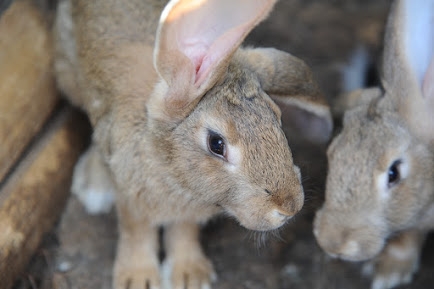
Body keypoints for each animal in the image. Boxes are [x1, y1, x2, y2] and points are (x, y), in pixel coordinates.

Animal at [54, 0, 332, 288]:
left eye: (277, 116)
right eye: (216, 144)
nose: (290, 207)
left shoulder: (187, 212)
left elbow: (183, 231)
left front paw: (190, 276)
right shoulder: (131, 196)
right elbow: (136, 232)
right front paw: (137, 279)